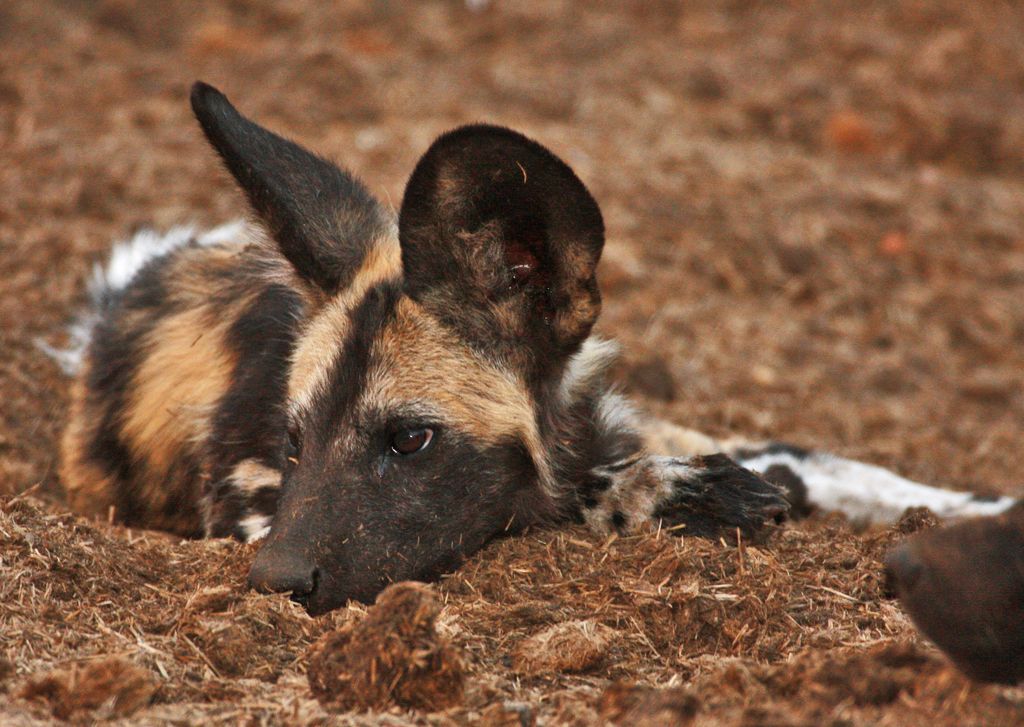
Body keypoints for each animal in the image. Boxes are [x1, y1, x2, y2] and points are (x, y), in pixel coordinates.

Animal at [58, 83, 1015, 614]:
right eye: (293, 441)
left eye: (411, 439)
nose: (275, 583)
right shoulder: (252, 505)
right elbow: (570, 502)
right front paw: (661, 497)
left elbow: (810, 461)